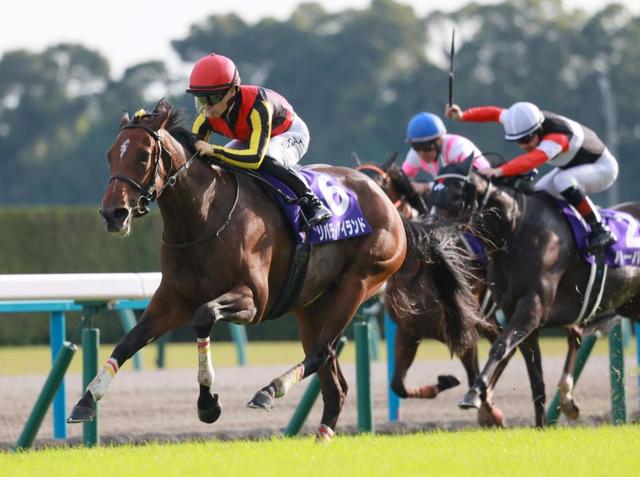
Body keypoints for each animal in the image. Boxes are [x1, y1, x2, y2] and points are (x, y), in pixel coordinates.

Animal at [67, 98, 483, 441]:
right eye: (110, 155)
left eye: (142, 156)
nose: (113, 214)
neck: (203, 217)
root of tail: (390, 205)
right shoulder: (172, 300)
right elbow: (129, 341)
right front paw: (86, 400)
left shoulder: (252, 301)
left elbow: (204, 318)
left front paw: (208, 403)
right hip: (312, 305)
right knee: (334, 382)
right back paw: (321, 437)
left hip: (360, 282)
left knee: (320, 353)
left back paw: (269, 391)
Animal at [429, 155, 640, 426]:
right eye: (432, 195)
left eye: (455, 195)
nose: (430, 233)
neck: (516, 230)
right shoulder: (516, 312)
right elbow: (535, 376)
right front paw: (540, 426)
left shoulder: (531, 307)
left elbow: (500, 346)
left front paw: (473, 394)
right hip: (630, 305)